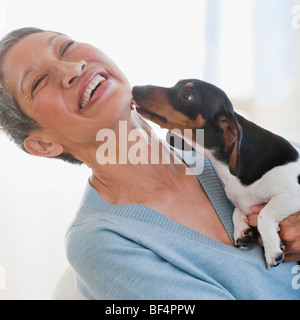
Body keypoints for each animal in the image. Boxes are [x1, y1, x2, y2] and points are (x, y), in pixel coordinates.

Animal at [132, 79, 300, 268]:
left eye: (187, 95)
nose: (135, 89)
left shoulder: (292, 194)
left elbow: (264, 215)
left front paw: (272, 250)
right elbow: (237, 210)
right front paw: (241, 230)